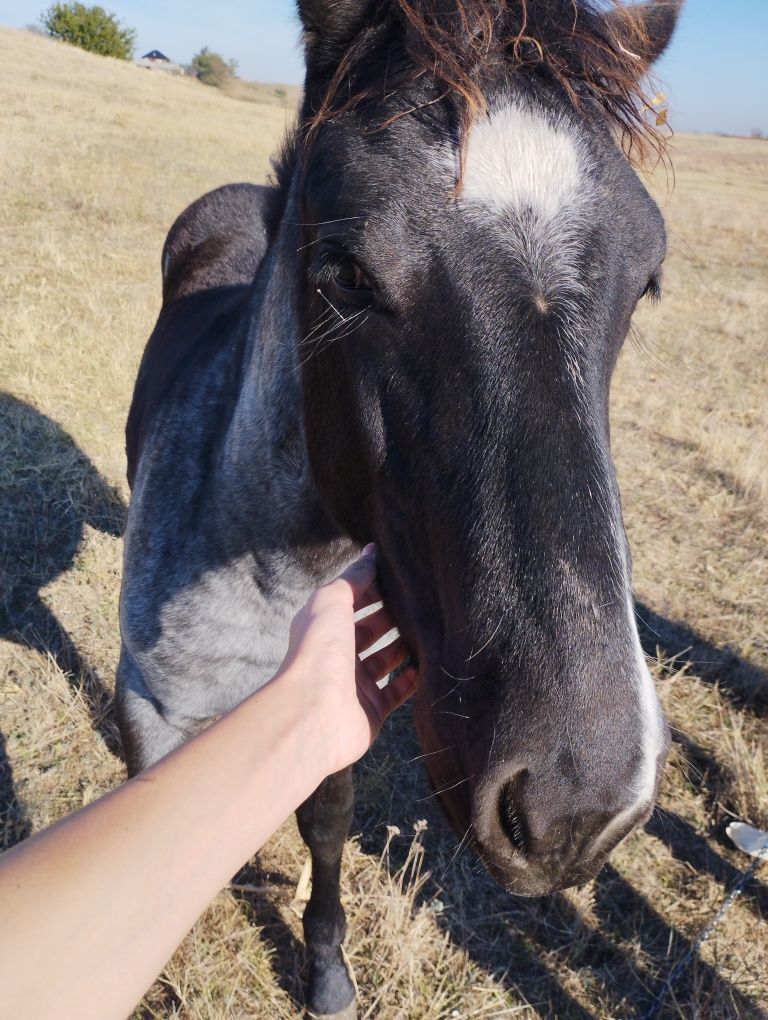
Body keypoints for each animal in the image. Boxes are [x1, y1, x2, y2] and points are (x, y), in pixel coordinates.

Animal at [118, 3, 681, 1015]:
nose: (578, 801)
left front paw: (328, 972)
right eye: (344, 274)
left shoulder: (331, 706)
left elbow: (327, 824)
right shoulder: (148, 718)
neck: (270, 583)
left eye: (644, 280)